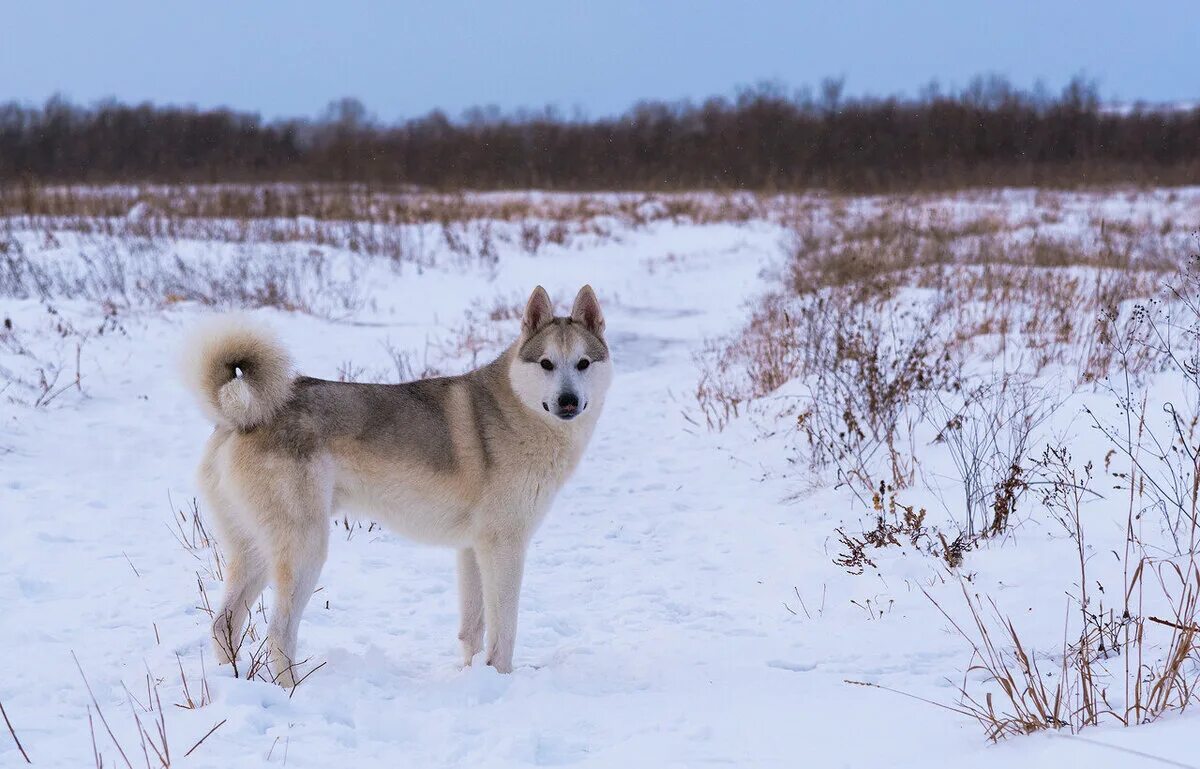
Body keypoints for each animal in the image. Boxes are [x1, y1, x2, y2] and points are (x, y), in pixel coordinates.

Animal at [184, 283, 609, 681]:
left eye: (583, 363)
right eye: (546, 364)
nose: (568, 401)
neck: (518, 412)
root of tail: (240, 417)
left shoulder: (471, 549)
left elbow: (472, 631)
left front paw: (472, 676)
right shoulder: (504, 547)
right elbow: (504, 631)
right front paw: (500, 678)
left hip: (255, 551)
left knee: (223, 624)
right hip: (305, 550)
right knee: (279, 633)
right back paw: (292, 688)